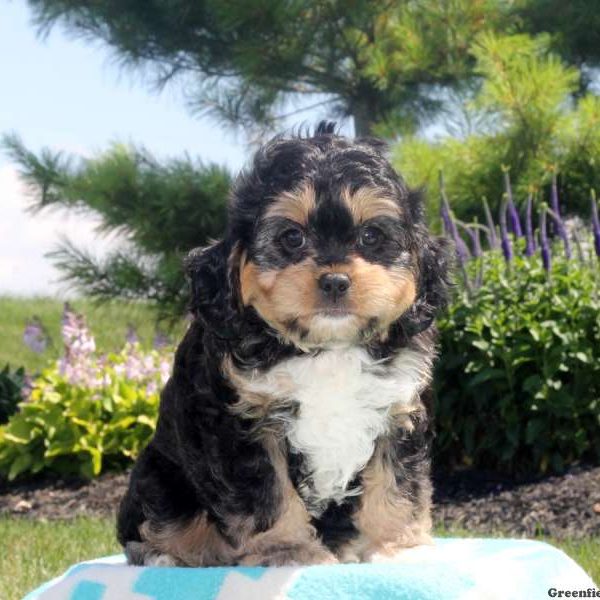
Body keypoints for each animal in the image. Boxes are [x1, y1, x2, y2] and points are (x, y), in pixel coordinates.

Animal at [117, 123, 448, 568]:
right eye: (292, 237)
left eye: (371, 236)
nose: (335, 281)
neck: (327, 347)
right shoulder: (245, 423)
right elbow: (268, 494)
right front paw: (289, 551)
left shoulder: (398, 411)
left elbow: (398, 484)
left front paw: (397, 548)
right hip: (161, 476)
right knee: (158, 521)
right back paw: (163, 555)